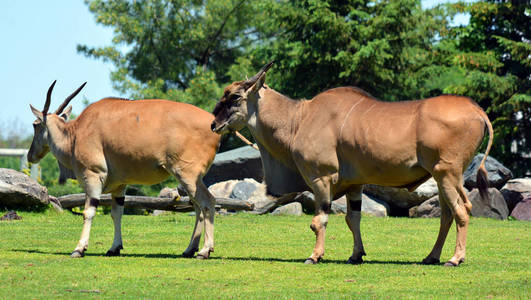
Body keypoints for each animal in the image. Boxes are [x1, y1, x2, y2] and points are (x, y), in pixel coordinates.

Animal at [29, 81, 221, 258]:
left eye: (35, 125)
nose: (30, 156)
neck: (75, 133)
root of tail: (212, 124)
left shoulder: (93, 176)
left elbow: (89, 212)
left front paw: (79, 248)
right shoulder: (120, 186)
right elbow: (117, 214)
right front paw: (114, 247)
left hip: (187, 176)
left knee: (207, 202)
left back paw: (204, 250)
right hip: (190, 180)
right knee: (198, 207)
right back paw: (190, 249)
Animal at [212, 62, 494, 266]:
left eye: (235, 97)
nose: (214, 124)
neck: (299, 119)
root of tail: (477, 111)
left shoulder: (321, 178)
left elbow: (320, 219)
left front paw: (314, 256)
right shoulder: (355, 185)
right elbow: (353, 218)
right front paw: (356, 255)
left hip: (447, 174)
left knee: (462, 210)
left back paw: (455, 259)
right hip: (442, 177)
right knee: (447, 215)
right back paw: (431, 256)